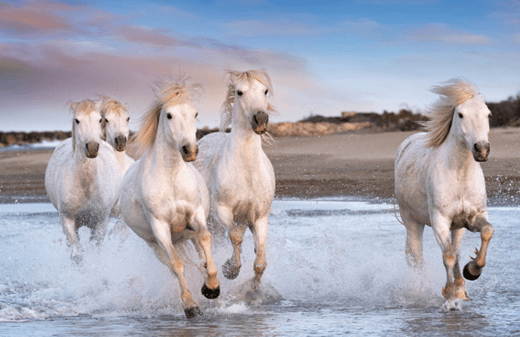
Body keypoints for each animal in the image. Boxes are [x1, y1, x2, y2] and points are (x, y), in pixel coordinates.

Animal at [45, 98, 122, 258]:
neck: (86, 186)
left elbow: (95, 250)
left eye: (100, 119)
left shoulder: (100, 222)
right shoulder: (68, 221)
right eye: (77, 120)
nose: (92, 148)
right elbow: (77, 255)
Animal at [120, 79, 219, 318]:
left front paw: (212, 287)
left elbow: (206, 239)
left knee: (200, 255)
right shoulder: (160, 227)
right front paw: (191, 306)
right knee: (177, 265)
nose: (190, 150)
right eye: (169, 115)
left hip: (187, 235)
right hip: (157, 245)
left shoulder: (195, 215)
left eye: (195, 113)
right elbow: (177, 264)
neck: (171, 176)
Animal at [193, 69, 276, 290]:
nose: (260, 120)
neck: (247, 172)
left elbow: (260, 262)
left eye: (265, 90)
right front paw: (230, 270)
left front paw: (253, 291)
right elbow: (236, 237)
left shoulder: (260, 218)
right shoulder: (222, 211)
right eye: (239, 92)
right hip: (209, 220)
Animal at [396, 79, 494, 310]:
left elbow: (486, 232)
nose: (481, 150)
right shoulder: (440, 221)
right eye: (461, 114)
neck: (460, 174)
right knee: (417, 256)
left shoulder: (473, 217)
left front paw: (472, 271)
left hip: (458, 227)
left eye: (488, 114)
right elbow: (447, 256)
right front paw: (449, 298)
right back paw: (422, 292)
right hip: (412, 221)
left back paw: (462, 288)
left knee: (456, 250)